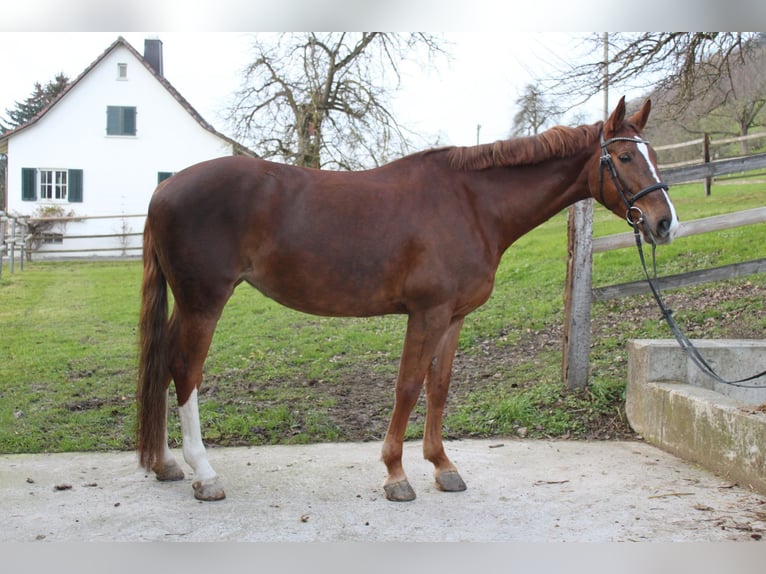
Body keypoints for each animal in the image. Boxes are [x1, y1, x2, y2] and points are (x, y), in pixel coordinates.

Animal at [136, 97, 680, 502]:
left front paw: (443, 467)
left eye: (652, 153)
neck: (472, 205)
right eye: (625, 157)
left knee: (162, 362)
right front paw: (396, 474)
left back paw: (165, 464)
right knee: (185, 370)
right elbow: (408, 387)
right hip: (204, 302)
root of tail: (162, 191)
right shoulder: (427, 313)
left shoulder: (454, 317)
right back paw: (205, 474)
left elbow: (438, 387)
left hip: (188, 304)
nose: (663, 223)